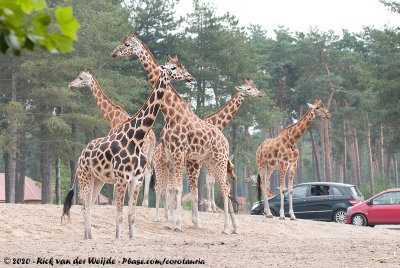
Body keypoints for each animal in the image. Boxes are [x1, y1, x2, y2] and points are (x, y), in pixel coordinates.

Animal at [69, 68, 156, 206]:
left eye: (81, 77)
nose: (71, 84)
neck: (112, 117)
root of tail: (152, 137)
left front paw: (115, 202)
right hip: (150, 152)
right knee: (149, 172)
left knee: (146, 172)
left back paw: (144, 203)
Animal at [110, 34, 238, 234]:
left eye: (127, 44)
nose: (113, 53)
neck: (170, 113)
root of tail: (225, 140)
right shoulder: (170, 157)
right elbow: (172, 189)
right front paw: (171, 222)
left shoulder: (178, 154)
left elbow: (177, 189)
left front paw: (177, 224)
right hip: (210, 161)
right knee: (224, 185)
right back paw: (233, 226)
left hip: (218, 158)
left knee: (224, 187)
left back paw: (226, 228)